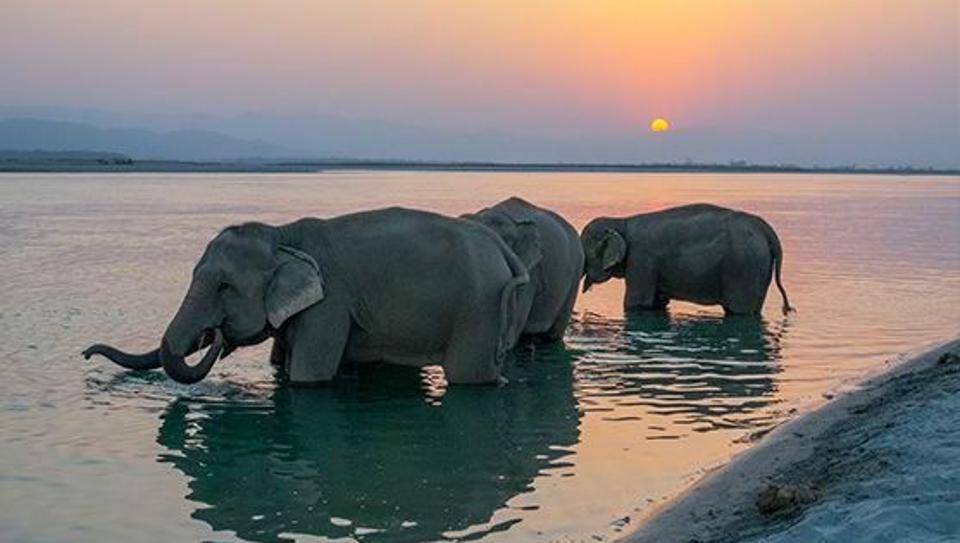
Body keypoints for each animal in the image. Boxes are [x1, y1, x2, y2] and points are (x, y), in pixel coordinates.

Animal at [83, 207, 532, 385]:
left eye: (225, 287)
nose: (85, 353)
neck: (283, 236)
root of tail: (502, 249)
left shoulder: (329, 307)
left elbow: (308, 377)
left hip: (478, 309)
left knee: (470, 377)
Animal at [581, 204, 793, 315]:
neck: (621, 221)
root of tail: (765, 229)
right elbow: (657, 303)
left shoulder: (642, 259)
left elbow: (636, 302)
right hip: (758, 266)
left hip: (744, 266)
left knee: (739, 310)